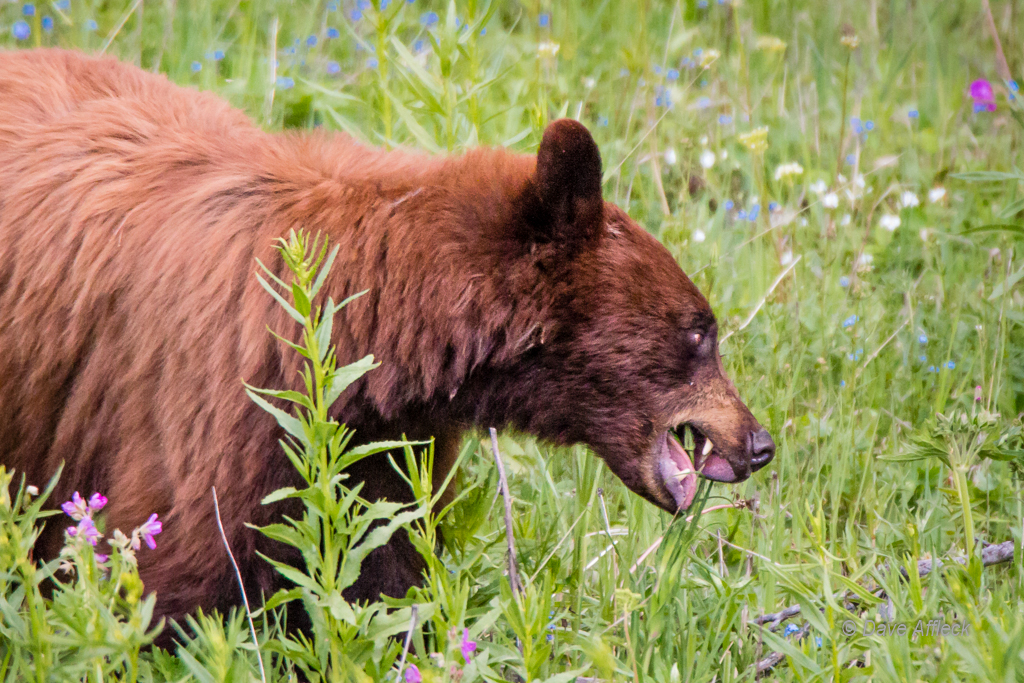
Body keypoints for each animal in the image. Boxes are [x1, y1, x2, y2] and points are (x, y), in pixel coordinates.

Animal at [0, 49, 774, 630]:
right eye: (700, 330)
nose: (759, 443)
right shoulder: (213, 414)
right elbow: (175, 586)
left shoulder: (386, 452)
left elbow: (387, 580)